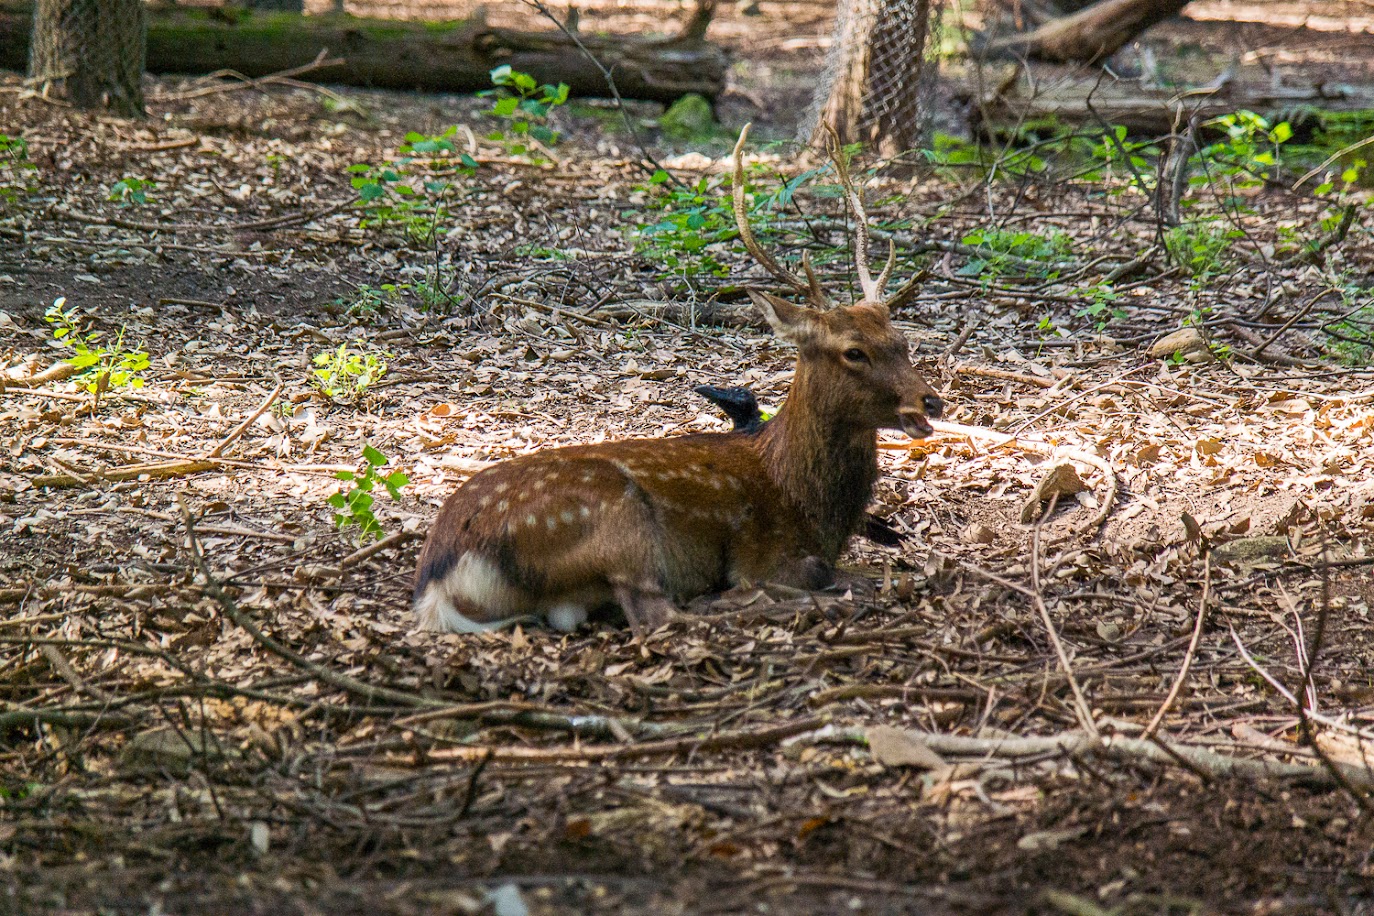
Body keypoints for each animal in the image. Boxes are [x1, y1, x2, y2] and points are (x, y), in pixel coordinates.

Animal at [409, 123, 945, 637]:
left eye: (901, 340)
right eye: (853, 351)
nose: (931, 402)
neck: (803, 499)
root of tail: (438, 582)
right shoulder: (764, 551)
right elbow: (812, 572)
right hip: (618, 522)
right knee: (659, 615)